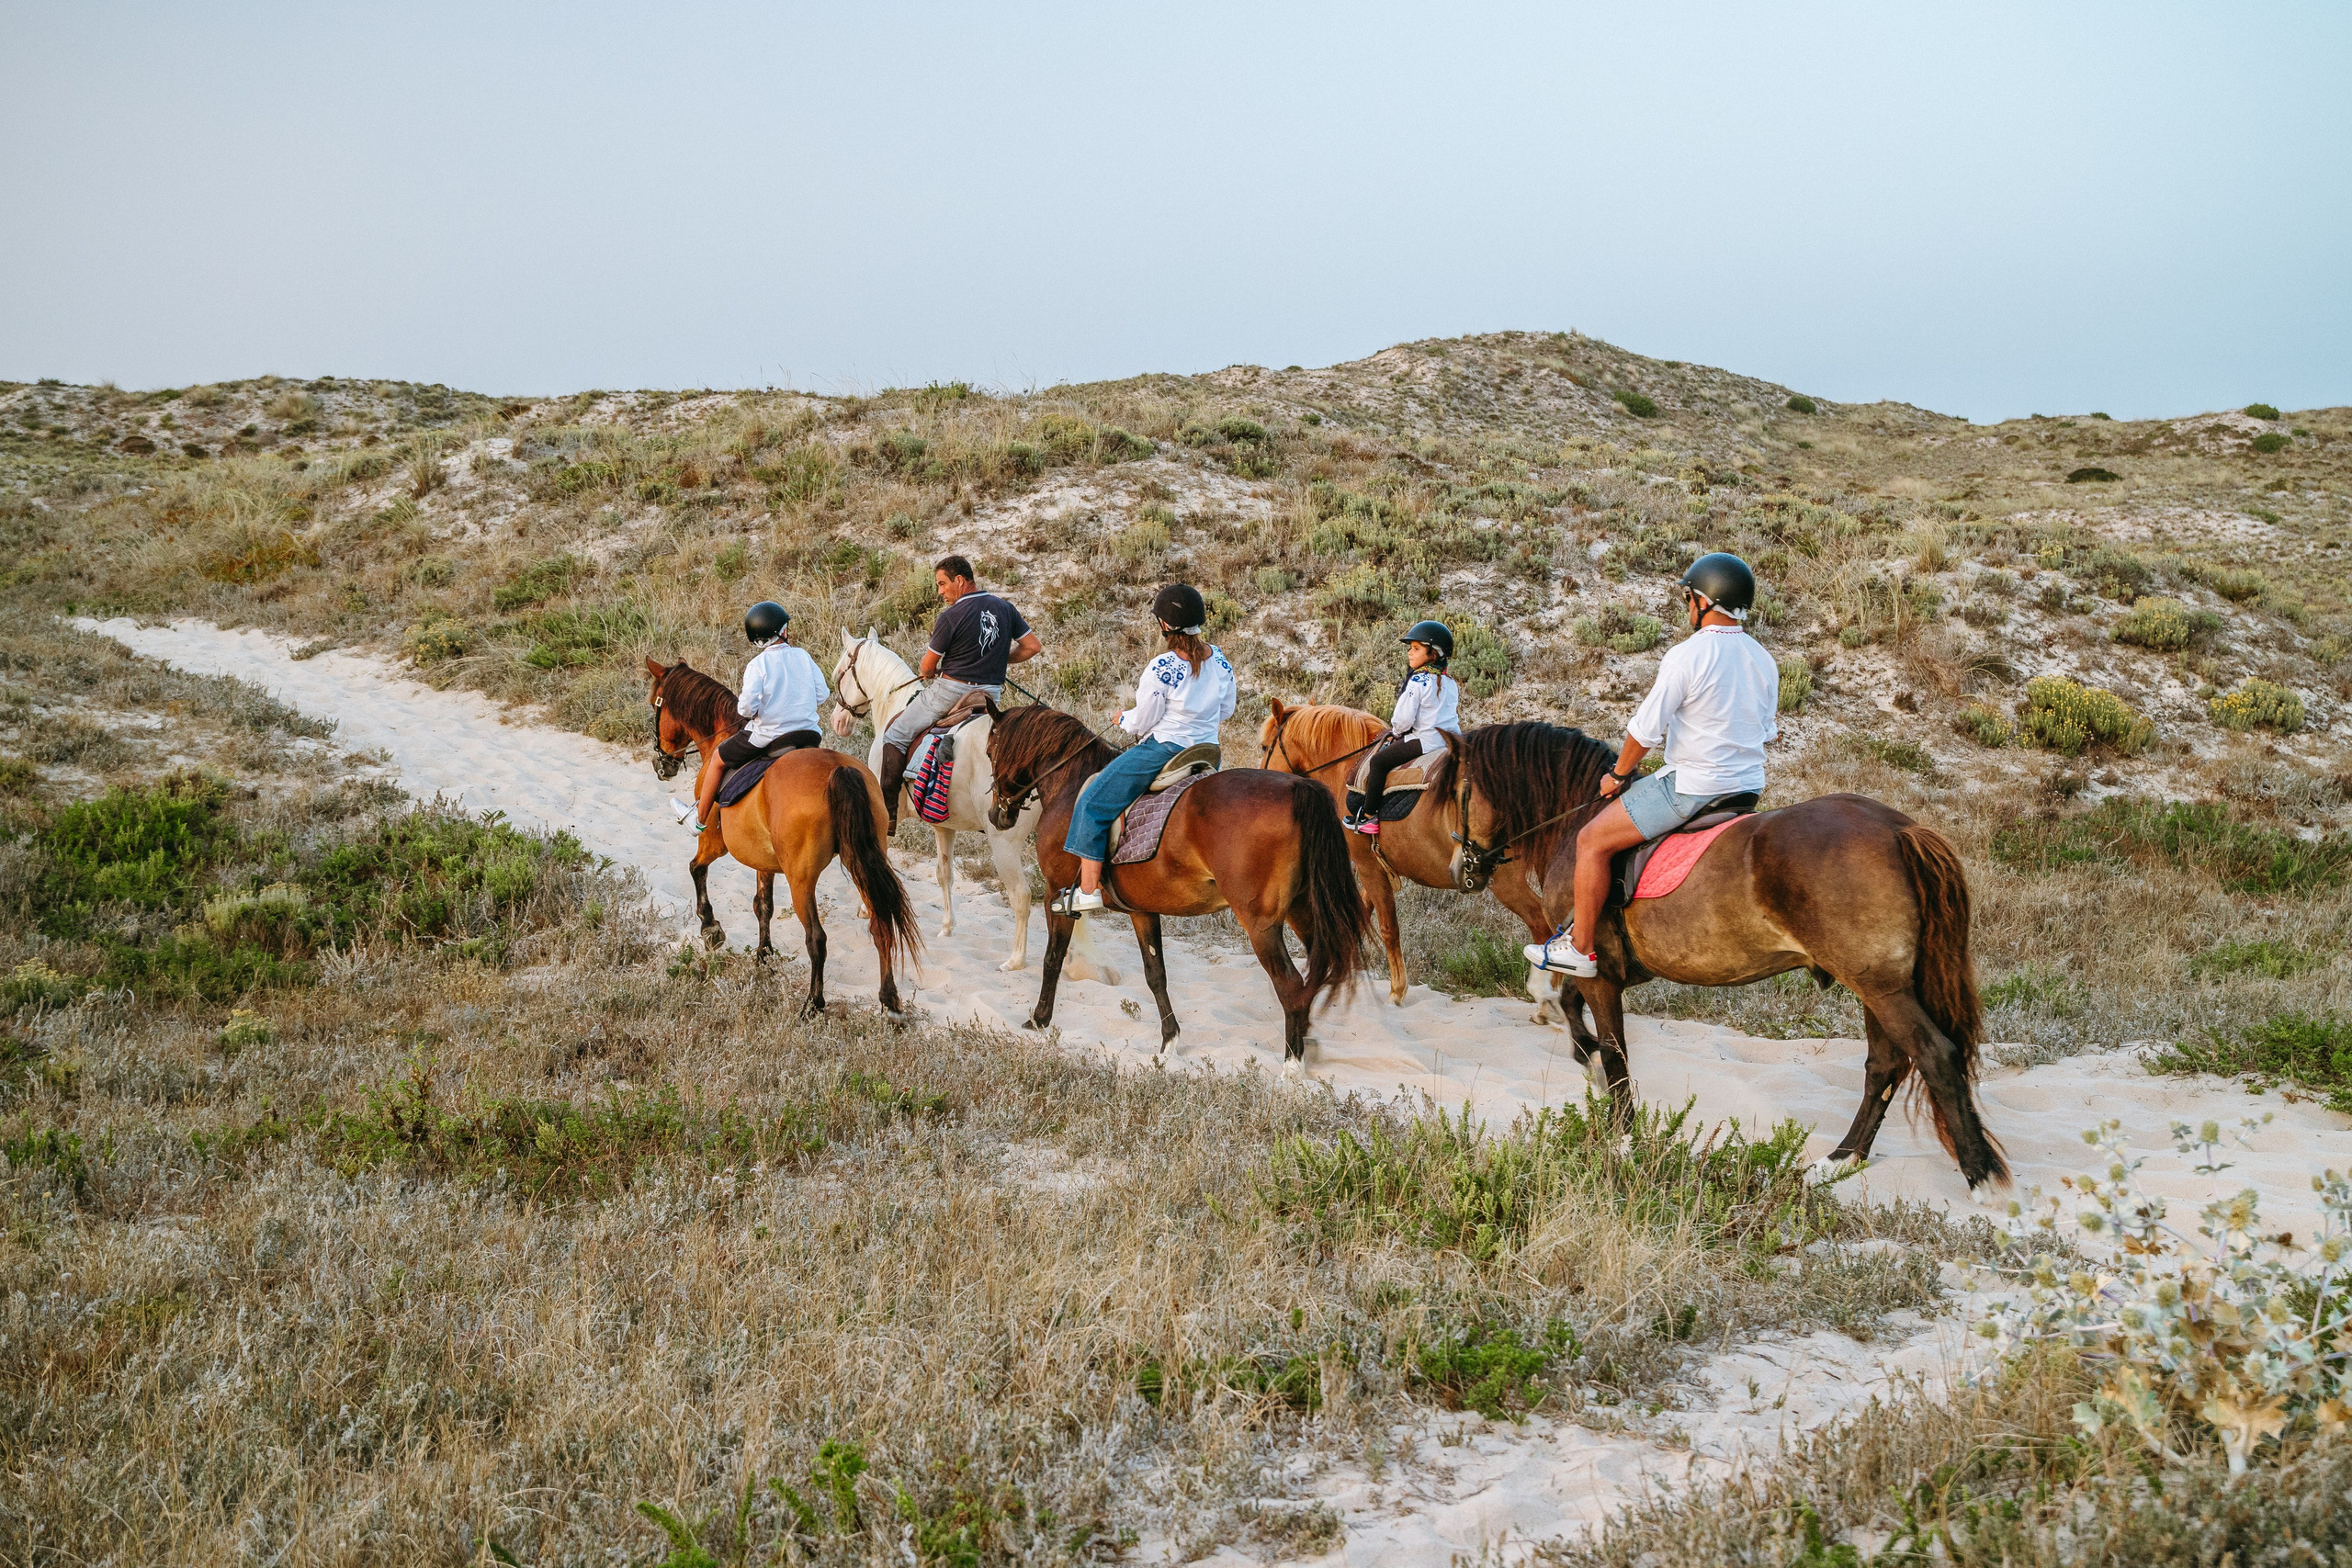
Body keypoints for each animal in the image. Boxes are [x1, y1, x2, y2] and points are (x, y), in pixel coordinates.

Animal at [644, 658, 921, 1015]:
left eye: (656, 705)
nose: (661, 765)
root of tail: (838, 770)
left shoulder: (716, 842)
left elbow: (697, 868)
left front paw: (710, 928)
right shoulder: (764, 859)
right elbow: (763, 905)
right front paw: (763, 955)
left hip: (801, 878)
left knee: (817, 938)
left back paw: (813, 1004)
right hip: (862, 860)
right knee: (880, 923)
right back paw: (889, 1002)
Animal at [827, 630, 1117, 985]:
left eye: (839, 673)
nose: (837, 721)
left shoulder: (882, 813)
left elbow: (873, 858)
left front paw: (867, 908)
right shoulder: (944, 826)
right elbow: (944, 874)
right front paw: (947, 928)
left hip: (1003, 843)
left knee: (1021, 895)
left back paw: (1016, 960)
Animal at [984, 705, 1366, 1061]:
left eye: (989, 751)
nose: (996, 815)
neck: (1071, 785)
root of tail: (1298, 786)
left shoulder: (1057, 892)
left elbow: (1053, 957)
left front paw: (1038, 1019)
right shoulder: (1141, 909)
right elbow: (1155, 973)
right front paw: (1169, 1040)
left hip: (1260, 922)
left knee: (1289, 983)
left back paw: (1293, 1064)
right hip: (1303, 909)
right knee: (1316, 971)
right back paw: (1307, 1041)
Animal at [1258, 699, 1557, 1005]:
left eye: (1264, 747)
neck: (1349, 766)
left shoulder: (1366, 865)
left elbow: (1388, 928)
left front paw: (1397, 989)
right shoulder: (1376, 865)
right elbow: (1361, 915)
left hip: (1505, 882)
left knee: (1542, 925)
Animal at [1447, 721, 2008, 1192]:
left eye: (1454, 793)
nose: (1460, 867)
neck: (1579, 818)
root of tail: (1897, 829)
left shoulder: (1600, 973)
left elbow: (1614, 1049)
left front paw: (1622, 1137)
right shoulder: (1612, 971)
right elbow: (1573, 1010)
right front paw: (1585, 1062)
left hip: (1881, 988)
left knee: (1934, 1056)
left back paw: (1983, 1180)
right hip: (1879, 987)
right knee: (1885, 1065)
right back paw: (1841, 1160)